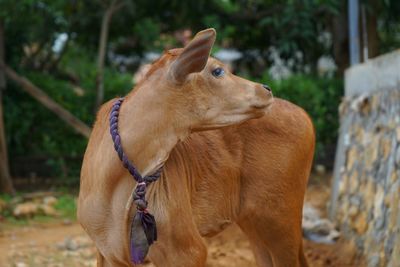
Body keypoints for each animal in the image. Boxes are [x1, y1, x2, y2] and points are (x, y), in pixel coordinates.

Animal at [79, 28, 316, 266]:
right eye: (217, 71)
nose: (266, 88)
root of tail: (305, 116)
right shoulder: (107, 252)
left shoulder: (187, 248)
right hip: (253, 219)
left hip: (281, 215)